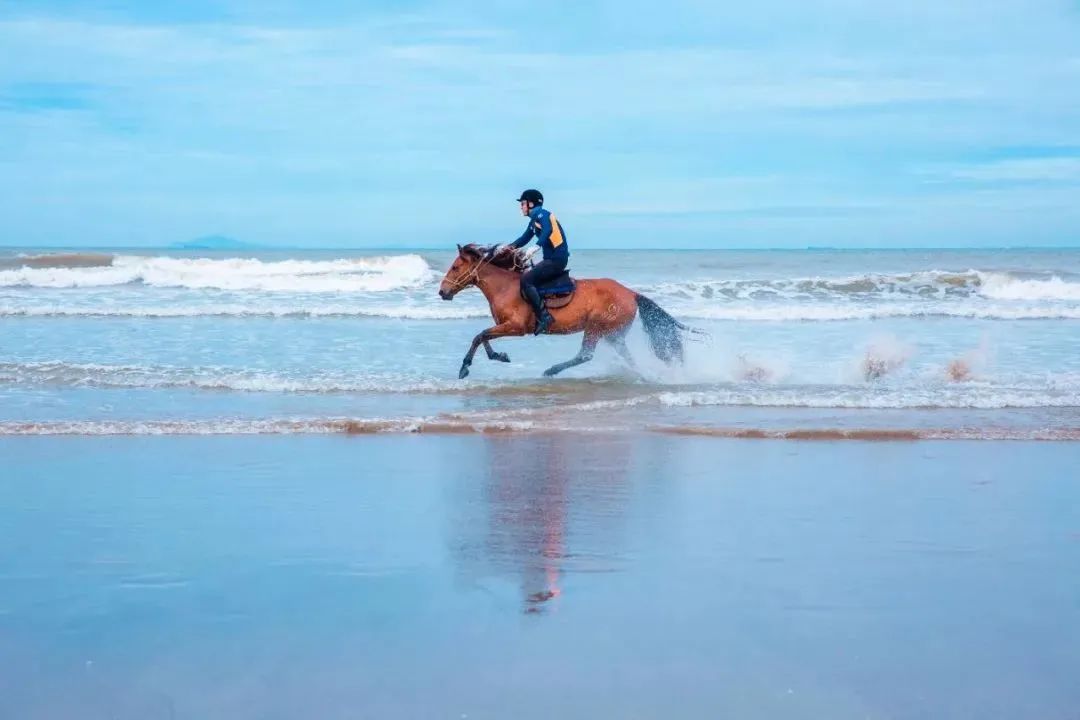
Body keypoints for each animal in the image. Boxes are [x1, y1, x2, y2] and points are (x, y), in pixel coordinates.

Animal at [438, 245, 699, 379]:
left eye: (456, 267)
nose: (442, 292)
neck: (505, 287)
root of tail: (631, 293)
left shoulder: (516, 327)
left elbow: (480, 335)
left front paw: (465, 367)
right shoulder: (504, 326)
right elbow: (483, 337)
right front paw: (499, 356)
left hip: (596, 327)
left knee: (585, 355)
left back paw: (551, 370)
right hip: (613, 335)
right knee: (625, 357)